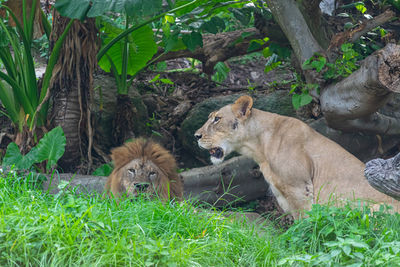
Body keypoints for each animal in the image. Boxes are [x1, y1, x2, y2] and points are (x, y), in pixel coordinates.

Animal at [195, 95, 400, 219]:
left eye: (217, 119)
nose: (196, 136)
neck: (258, 148)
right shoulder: (283, 194)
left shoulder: (299, 187)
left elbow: (306, 221)